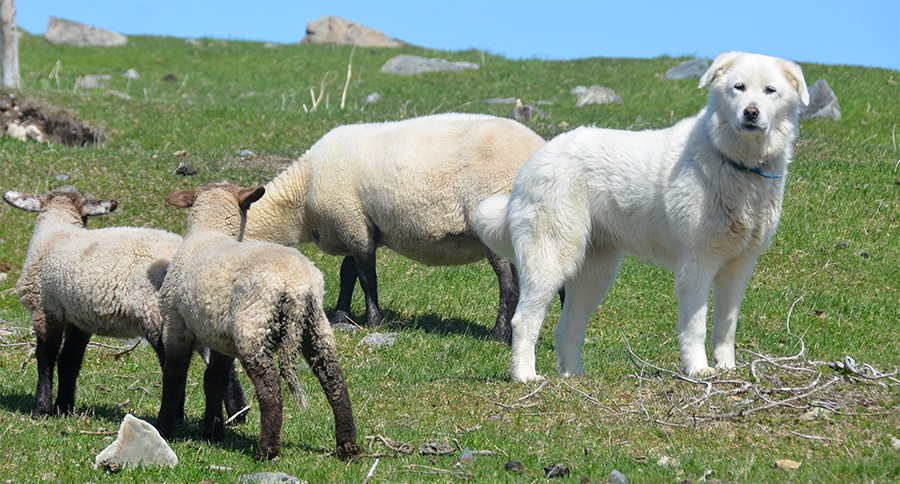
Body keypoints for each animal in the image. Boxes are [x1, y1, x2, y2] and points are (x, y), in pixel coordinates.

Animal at [3, 187, 246, 418]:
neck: (56, 229)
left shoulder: (44, 307)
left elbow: (46, 357)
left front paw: (42, 408)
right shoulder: (79, 319)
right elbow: (69, 360)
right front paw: (64, 407)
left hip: (156, 311)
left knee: (173, 364)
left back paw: (178, 415)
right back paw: (237, 414)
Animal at [156, 182, 362, 462]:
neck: (208, 232)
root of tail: (296, 286)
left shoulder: (175, 326)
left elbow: (174, 377)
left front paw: (164, 428)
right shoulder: (221, 339)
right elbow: (214, 380)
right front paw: (212, 432)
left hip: (254, 328)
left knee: (270, 389)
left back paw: (267, 450)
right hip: (316, 327)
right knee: (334, 381)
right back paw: (348, 446)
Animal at [243, 112, 544, 344]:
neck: (302, 194)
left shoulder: (352, 223)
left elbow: (366, 275)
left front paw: (373, 320)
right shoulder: (353, 225)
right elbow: (348, 273)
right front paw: (341, 316)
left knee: (508, 283)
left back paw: (499, 335)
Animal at [478, 50, 808, 382]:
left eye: (770, 90)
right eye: (738, 87)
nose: (750, 113)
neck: (735, 162)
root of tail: (535, 160)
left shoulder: (739, 267)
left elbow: (726, 327)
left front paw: (726, 368)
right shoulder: (696, 264)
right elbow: (696, 326)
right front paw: (698, 369)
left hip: (594, 275)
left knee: (566, 329)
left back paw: (575, 377)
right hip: (551, 258)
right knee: (524, 320)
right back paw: (524, 375)